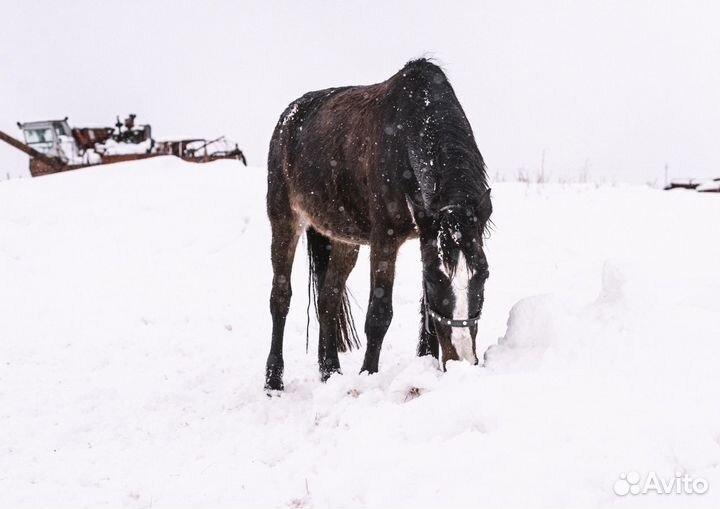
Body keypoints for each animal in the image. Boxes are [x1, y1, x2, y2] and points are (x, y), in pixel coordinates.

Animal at [266, 57, 496, 388]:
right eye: (436, 278)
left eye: (485, 274)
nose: (463, 361)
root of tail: (288, 117)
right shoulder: (384, 239)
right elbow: (379, 313)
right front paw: (367, 374)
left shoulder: (424, 237)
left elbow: (425, 313)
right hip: (284, 221)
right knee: (280, 297)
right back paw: (273, 381)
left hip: (344, 241)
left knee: (328, 298)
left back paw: (330, 372)